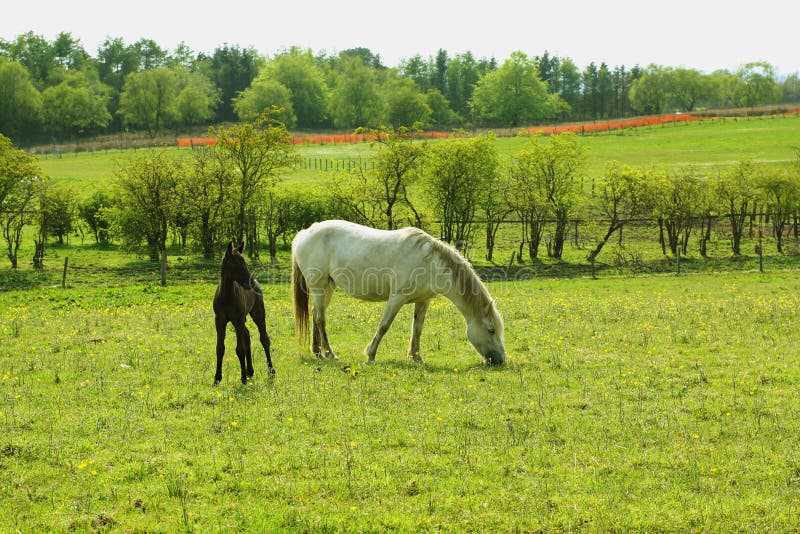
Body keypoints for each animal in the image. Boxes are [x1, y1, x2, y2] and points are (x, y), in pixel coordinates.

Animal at [292, 220, 506, 366]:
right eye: (491, 330)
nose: (501, 360)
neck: (429, 263)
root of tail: (304, 233)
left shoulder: (423, 301)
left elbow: (417, 329)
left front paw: (416, 357)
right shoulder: (396, 298)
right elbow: (384, 326)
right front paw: (370, 355)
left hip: (328, 287)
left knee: (315, 315)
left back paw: (317, 352)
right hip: (319, 287)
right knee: (321, 319)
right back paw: (330, 354)